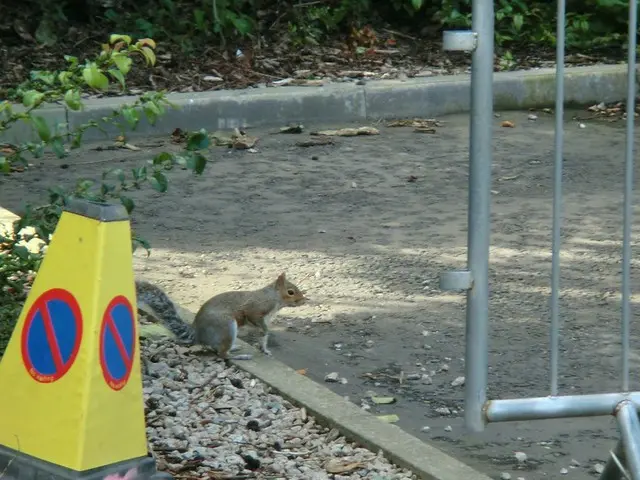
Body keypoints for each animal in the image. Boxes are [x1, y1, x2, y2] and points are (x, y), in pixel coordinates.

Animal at [135, 274, 308, 360]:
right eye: (291, 292)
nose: (303, 300)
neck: (274, 299)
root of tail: (198, 334)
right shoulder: (255, 310)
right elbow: (256, 320)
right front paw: (266, 333)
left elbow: (262, 338)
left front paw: (265, 349)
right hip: (227, 326)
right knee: (222, 354)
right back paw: (240, 356)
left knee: (215, 348)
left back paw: (235, 348)